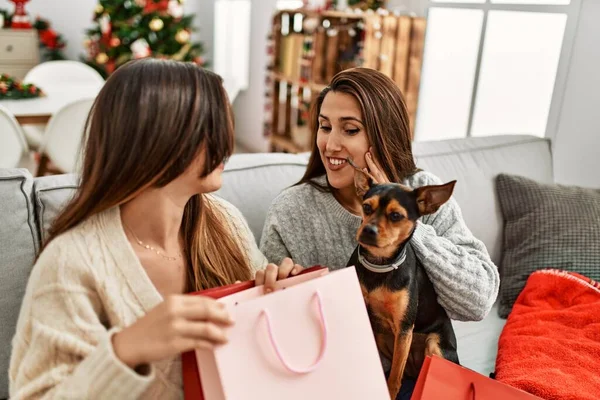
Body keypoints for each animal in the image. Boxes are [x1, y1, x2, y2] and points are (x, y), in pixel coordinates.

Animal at [346, 163, 460, 400]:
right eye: (366, 207)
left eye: (396, 215)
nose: (368, 230)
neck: (379, 264)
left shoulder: (404, 327)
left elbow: (394, 378)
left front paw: (388, 392)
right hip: (384, 338)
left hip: (433, 344)